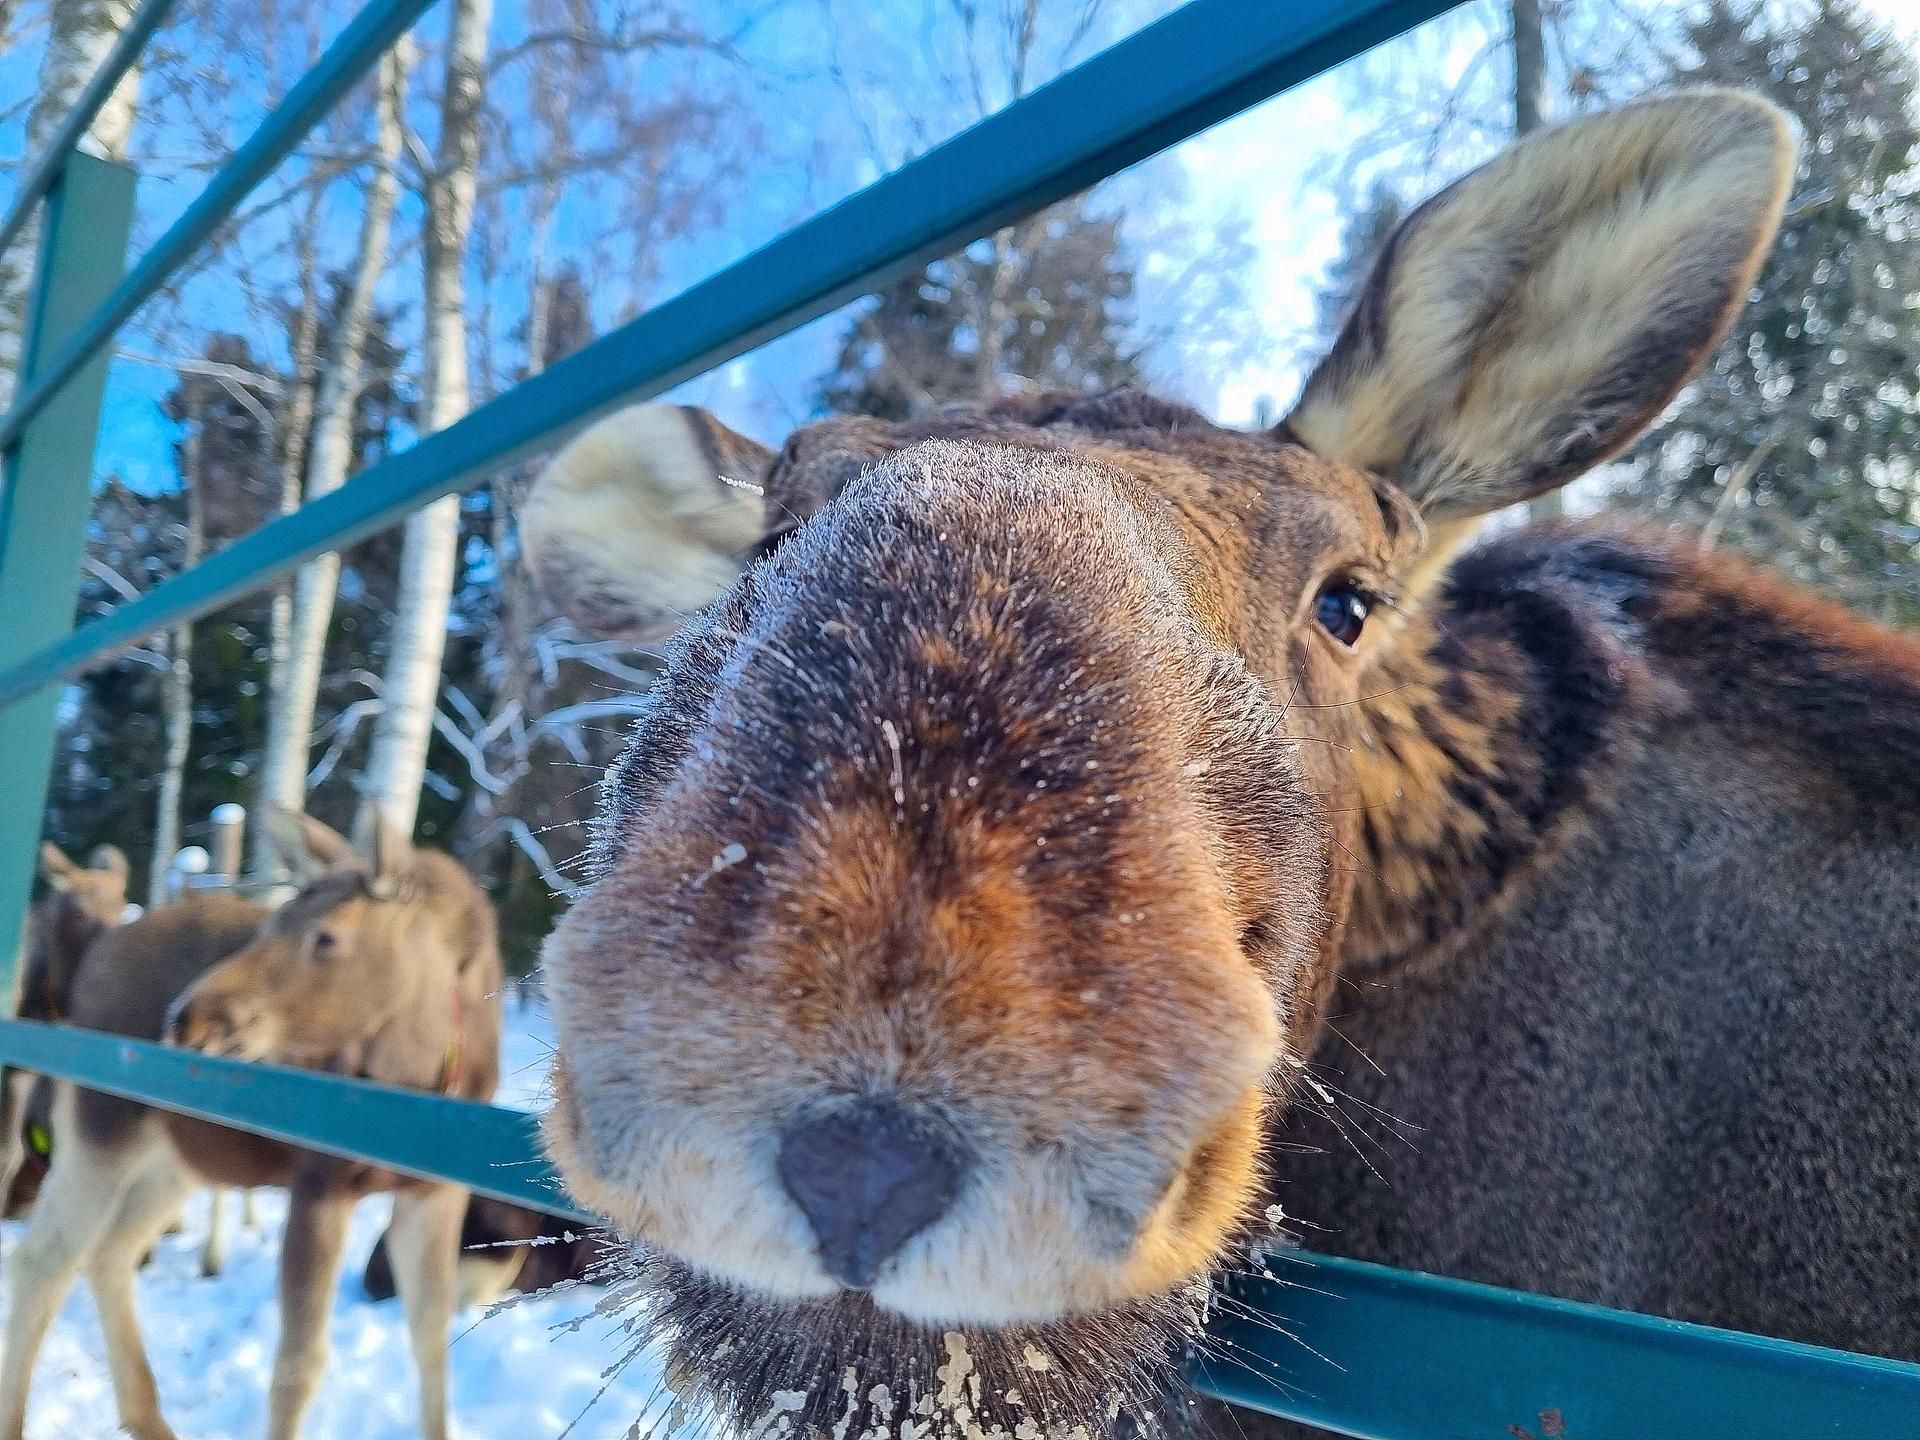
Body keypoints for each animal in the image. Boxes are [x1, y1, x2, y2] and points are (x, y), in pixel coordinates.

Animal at [0, 814, 503, 1440]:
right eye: (270, 923)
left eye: (326, 937)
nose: (184, 1018)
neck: (426, 1077)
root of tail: (89, 963)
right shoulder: (319, 1182)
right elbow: (299, 1365)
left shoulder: (435, 1192)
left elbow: (431, 1336)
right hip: (102, 1126)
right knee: (43, 1260)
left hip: (173, 1160)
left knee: (110, 1253)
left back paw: (149, 1417)